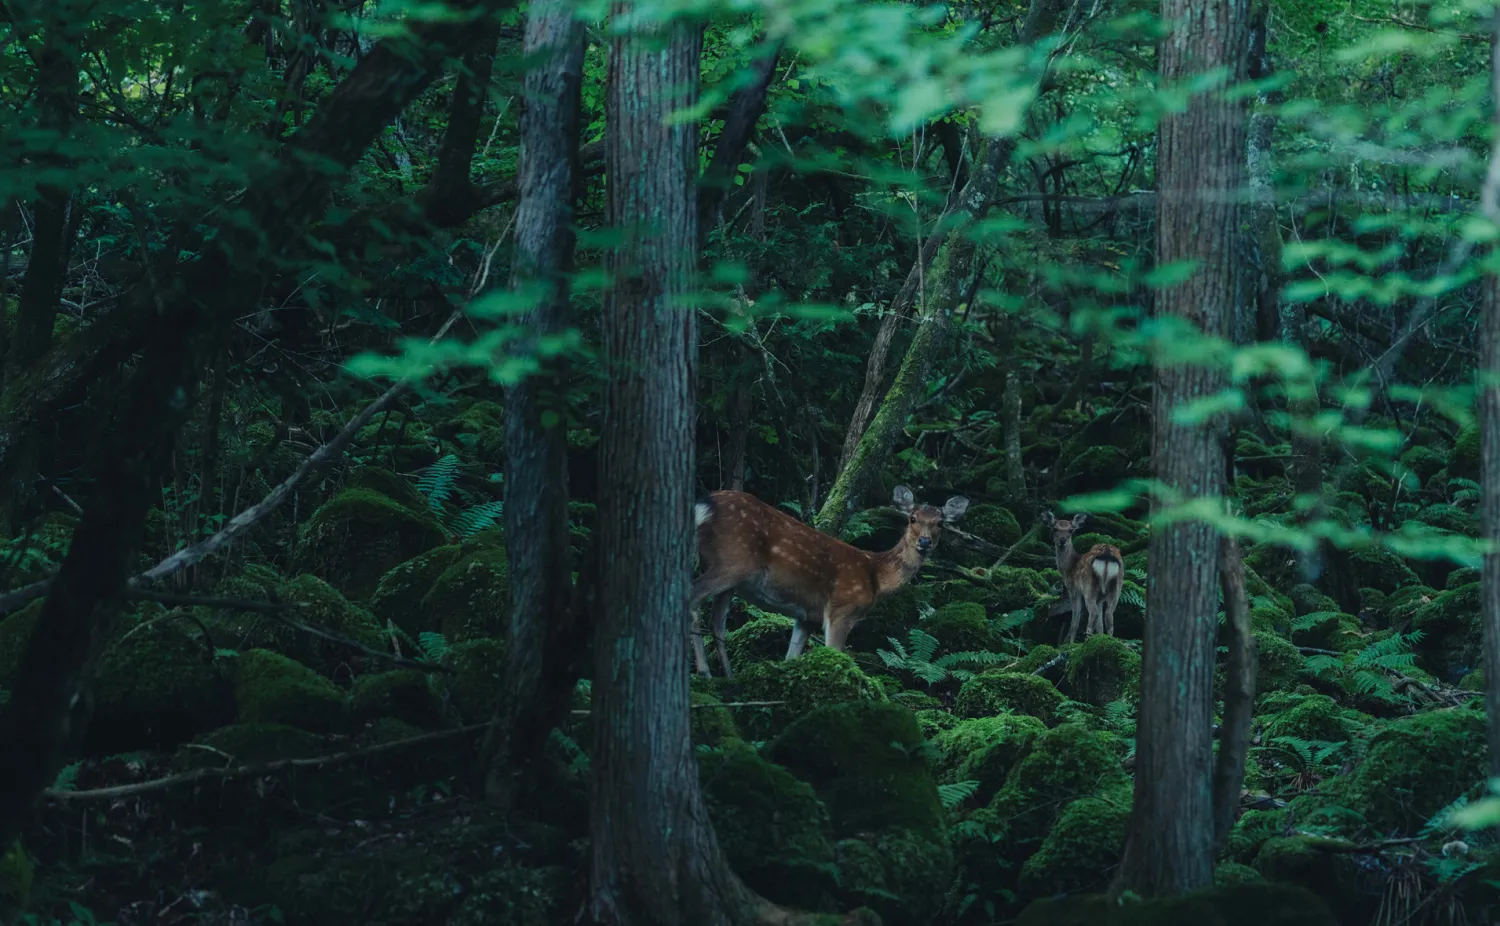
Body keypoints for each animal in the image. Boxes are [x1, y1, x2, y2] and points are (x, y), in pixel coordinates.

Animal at [689, 485, 970, 678]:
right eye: (912, 519)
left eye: (940, 523)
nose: (925, 541)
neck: (876, 578)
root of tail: (702, 506)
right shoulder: (841, 609)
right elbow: (836, 654)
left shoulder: (806, 617)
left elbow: (791, 657)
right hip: (733, 561)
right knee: (693, 598)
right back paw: (704, 672)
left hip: (731, 578)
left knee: (717, 622)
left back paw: (728, 676)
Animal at [1041, 511, 1124, 645]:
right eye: (1054, 528)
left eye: (1071, 530)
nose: (1062, 540)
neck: (1069, 568)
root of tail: (1107, 554)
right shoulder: (1100, 598)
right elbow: (1100, 625)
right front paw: (1100, 638)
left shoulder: (1073, 589)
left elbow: (1074, 622)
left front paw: (1070, 644)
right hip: (1117, 587)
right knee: (1109, 615)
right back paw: (1108, 641)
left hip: (1089, 586)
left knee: (1093, 613)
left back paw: (1086, 642)